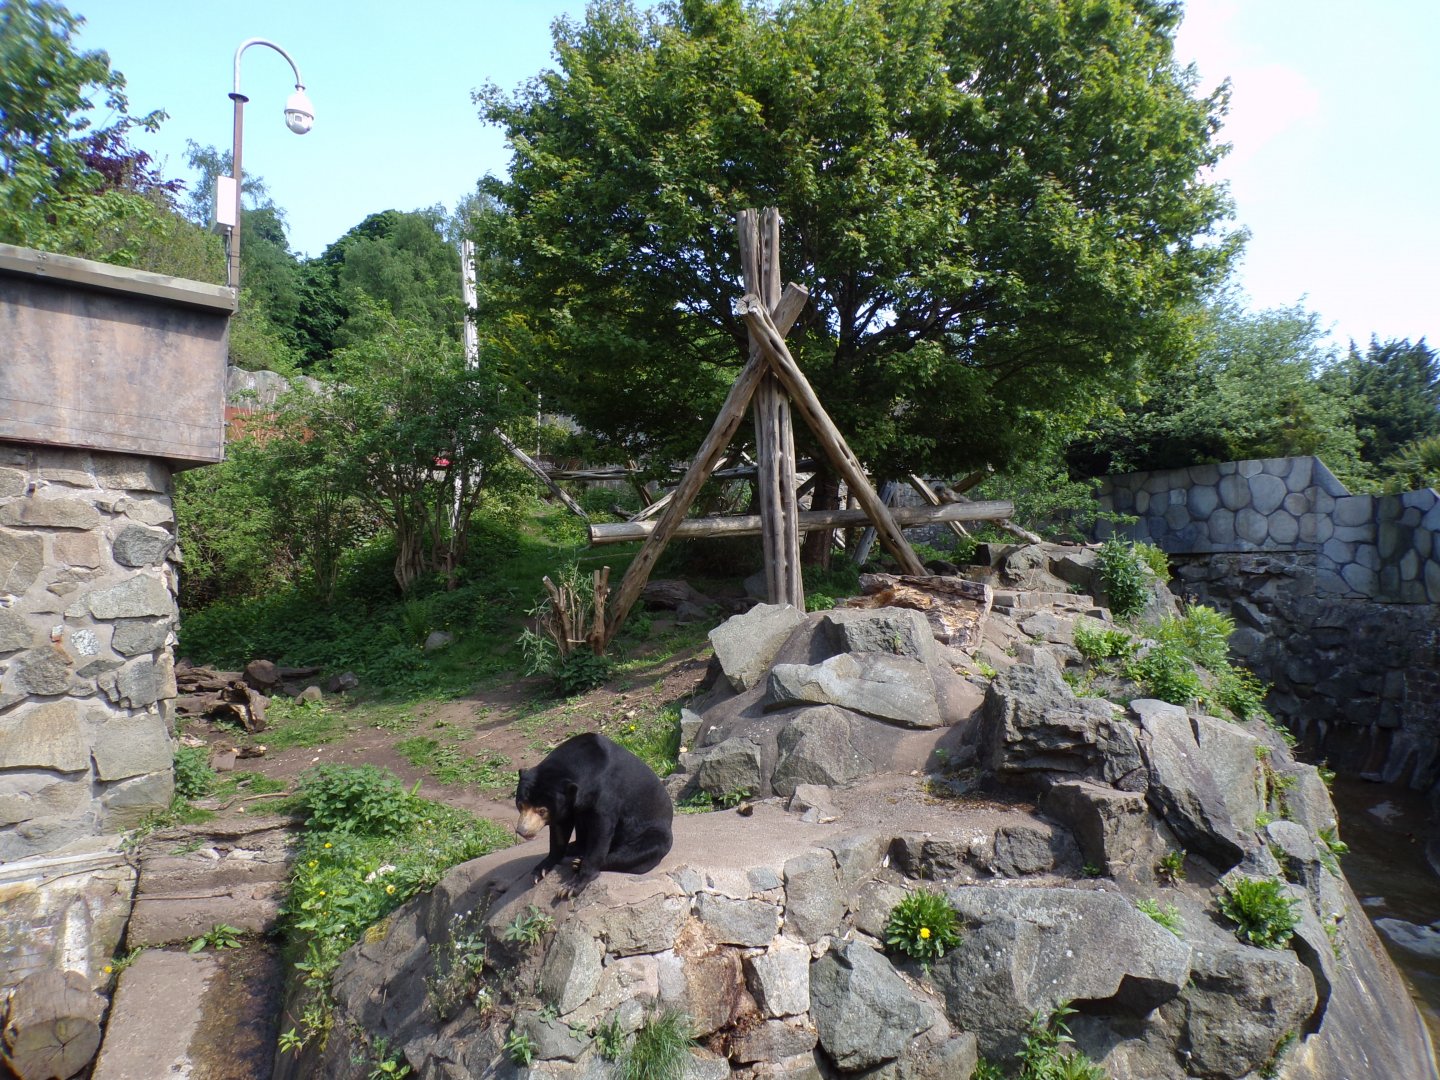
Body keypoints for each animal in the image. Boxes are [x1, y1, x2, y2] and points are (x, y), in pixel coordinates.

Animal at [514, 732, 674, 897]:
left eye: (542, 810)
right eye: (520, 804)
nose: (523, 831)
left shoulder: (606, 793)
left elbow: (600, 831)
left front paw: (571, 887)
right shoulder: (567, 804)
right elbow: (559, 830)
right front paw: (541, 870)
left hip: (654, 832)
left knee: (644, 850)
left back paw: (578, 862)